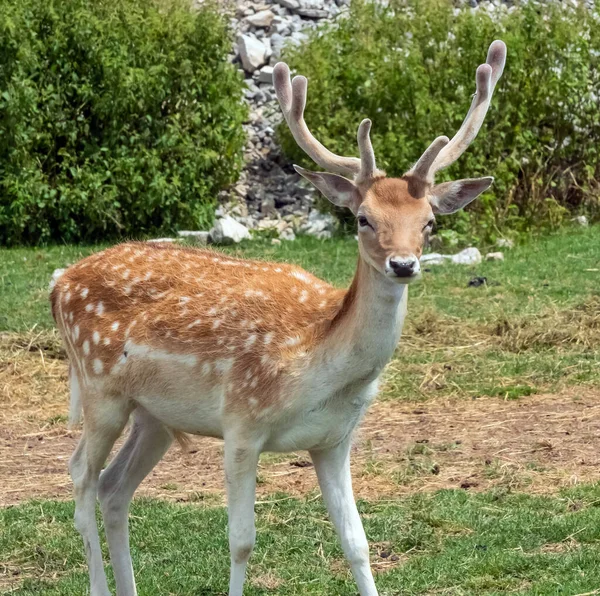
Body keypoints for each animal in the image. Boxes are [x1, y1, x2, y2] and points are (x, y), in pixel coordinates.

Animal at [48, 39, 506, 592]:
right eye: (362, 219)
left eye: (429, 222)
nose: (403, 264)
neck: (319, 368)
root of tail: (58, 284)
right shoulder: (241, 422)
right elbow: (242, 542)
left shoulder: (336, 440)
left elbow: (357, 544)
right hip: (100, 391)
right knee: (79, 476)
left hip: (153, 414)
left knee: (114, 488)